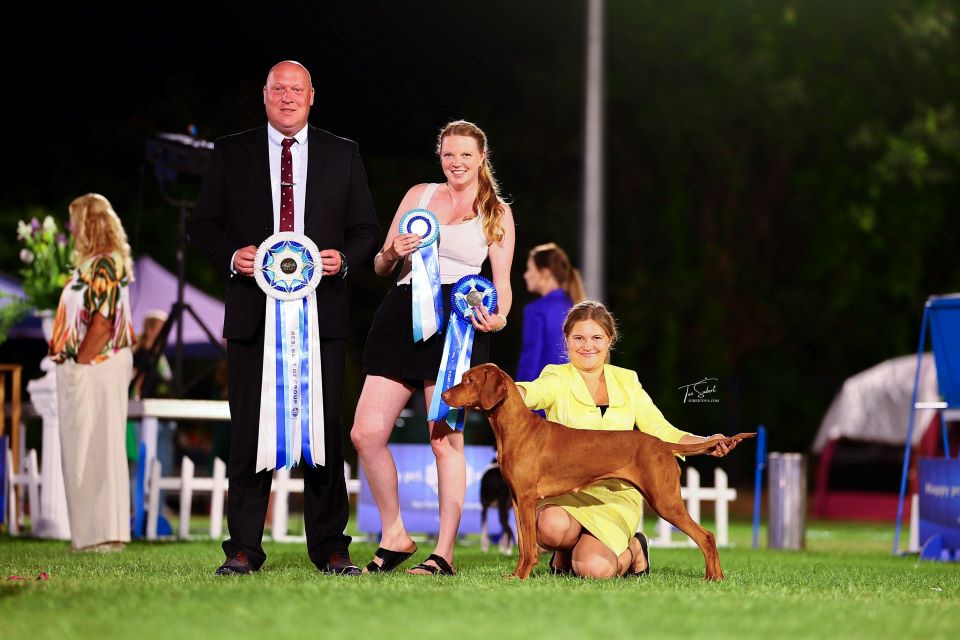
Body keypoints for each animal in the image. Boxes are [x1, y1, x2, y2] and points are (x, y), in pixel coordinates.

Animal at [442, 363, 755, 581]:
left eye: (469, 380)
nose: (443, 394)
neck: (516, 429)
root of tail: (663, 444)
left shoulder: (528, 500)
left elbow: (529, 547)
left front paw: (523, 577)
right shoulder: (518, 502)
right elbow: (522, 544)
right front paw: (516, 574)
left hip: (665, 500)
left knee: (707, 536)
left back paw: (713, 577)